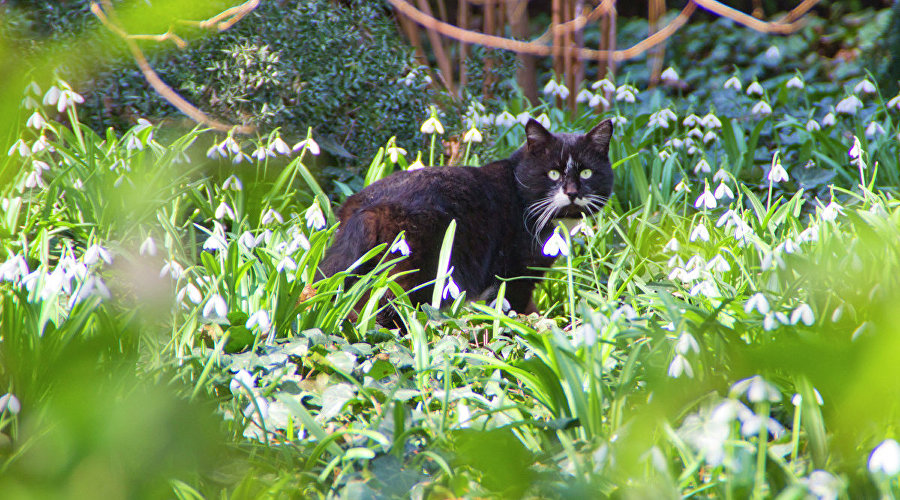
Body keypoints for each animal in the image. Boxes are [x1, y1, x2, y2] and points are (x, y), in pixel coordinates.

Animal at [320, 118, 616, 328]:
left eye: (587, 172)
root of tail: (366, 208)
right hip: (411, 274)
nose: (572, 192)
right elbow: (518, 307)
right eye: (553, 173)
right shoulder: (515, 274)